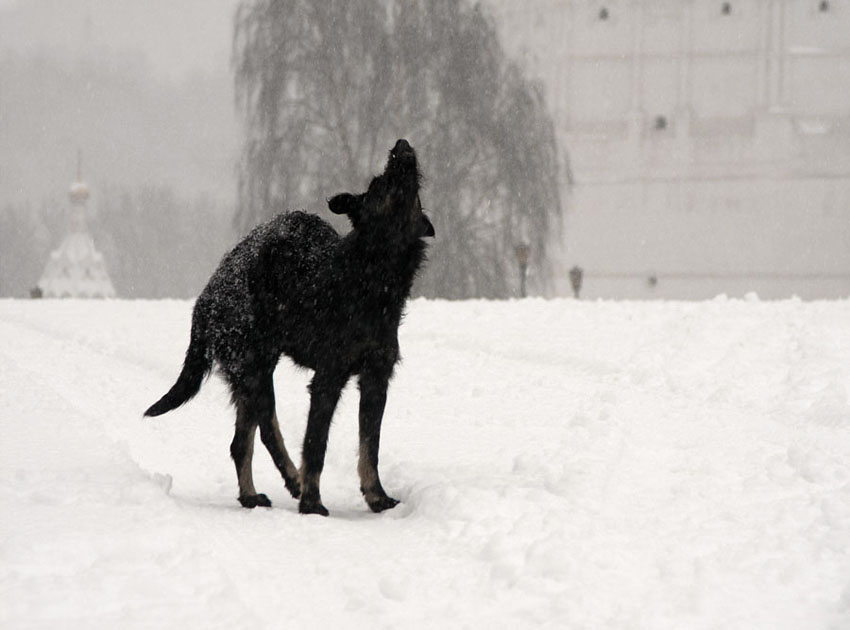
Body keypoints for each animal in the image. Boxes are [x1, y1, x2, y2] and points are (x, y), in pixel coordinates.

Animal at [144, 139, 430, 520]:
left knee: (242, 441)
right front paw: (312, 501)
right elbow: (315, 444)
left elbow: (371, 446)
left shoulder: (376, 379)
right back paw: (282, 484)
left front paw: (377, 498)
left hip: (252, 374)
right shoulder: (328, 378)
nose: (402, 144)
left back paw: (254, 494)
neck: (371, 277)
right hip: (253, 369)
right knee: (263, 434)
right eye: (379, 183)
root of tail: (206, 297)